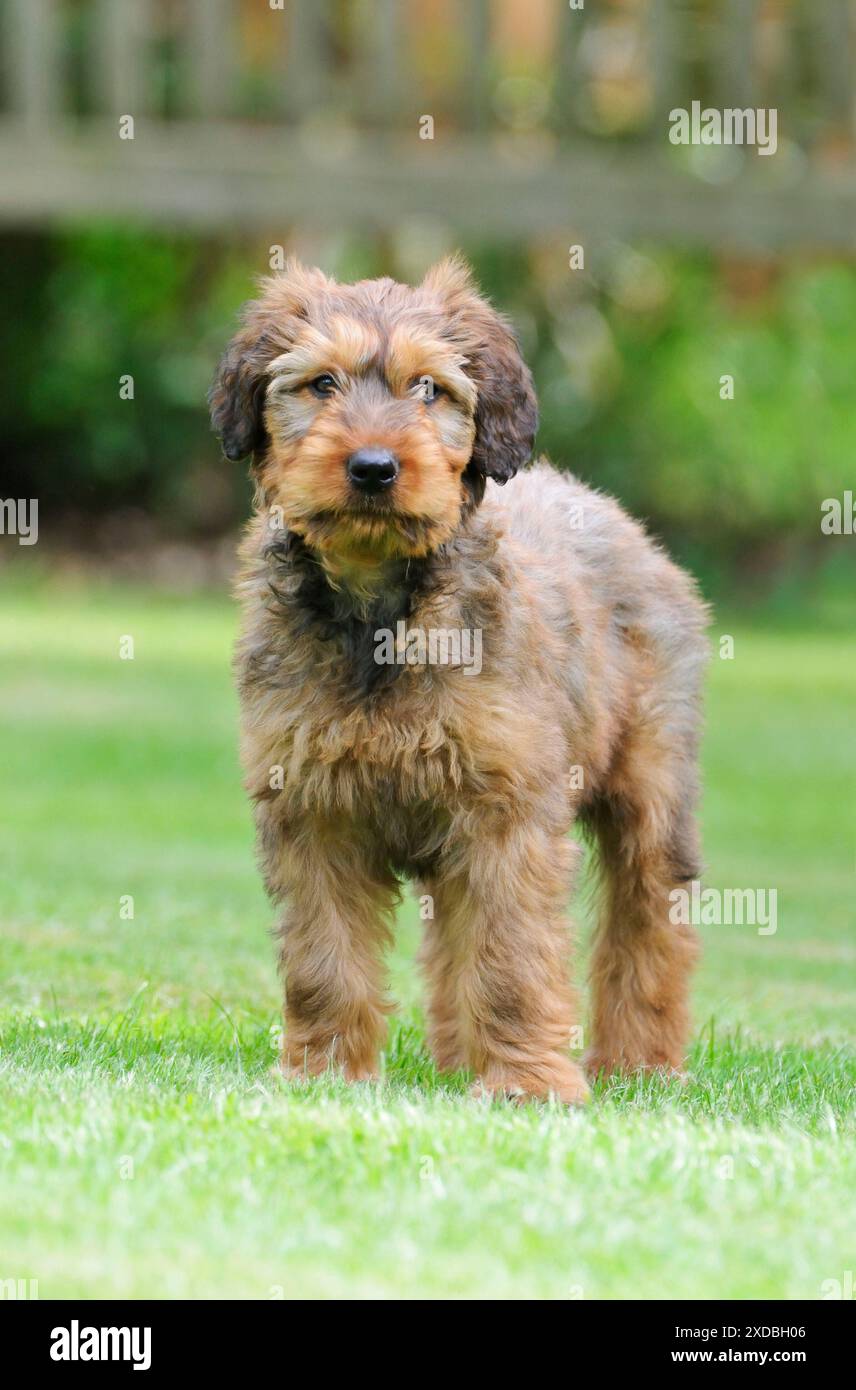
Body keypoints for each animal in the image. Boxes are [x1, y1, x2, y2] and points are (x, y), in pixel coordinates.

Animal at [211, 255, 705, 1100]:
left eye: (428, 389)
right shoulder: (311, 808)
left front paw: (526, 1084)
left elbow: (509, 957)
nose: (374, 468)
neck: (381, 611)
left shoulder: (506, 812)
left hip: (653, 792)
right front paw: (325, 1074)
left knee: (648, 925)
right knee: (448, 943)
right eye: (320, 384)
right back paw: (455, 1056)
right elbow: (323, 961)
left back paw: (639, 1064)